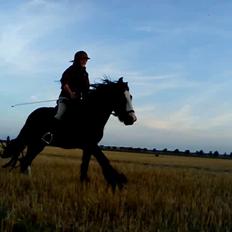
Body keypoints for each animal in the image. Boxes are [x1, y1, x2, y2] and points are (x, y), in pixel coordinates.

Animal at [0, 78, 137, 190]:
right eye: (121, 98)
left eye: (130, 96)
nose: (132, 119)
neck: (91, 114)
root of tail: (32, 115)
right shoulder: (91, 144)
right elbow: (104, 161)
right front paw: (118, 182)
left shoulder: (88, 147)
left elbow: (85, 165)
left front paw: (85, 184)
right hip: (35, 142)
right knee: (25, 161)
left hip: (38, 144)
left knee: (26, 161)